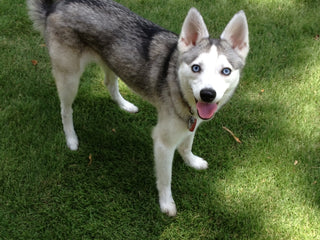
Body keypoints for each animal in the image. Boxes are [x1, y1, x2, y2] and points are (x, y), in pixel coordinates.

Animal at [27, 0, 249, 216]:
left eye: (226, 71)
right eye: (196, 68)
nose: (207, 94)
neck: (177, 81)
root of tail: (58, 4)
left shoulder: (191, 122)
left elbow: (187, 145)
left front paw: (191, 161)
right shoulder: (163, 142)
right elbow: (165, 179)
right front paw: (166, 204)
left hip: (112, 61)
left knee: (109, 84)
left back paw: (124, 105)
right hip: (69, 78)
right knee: (66, 110)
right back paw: (71, 138)